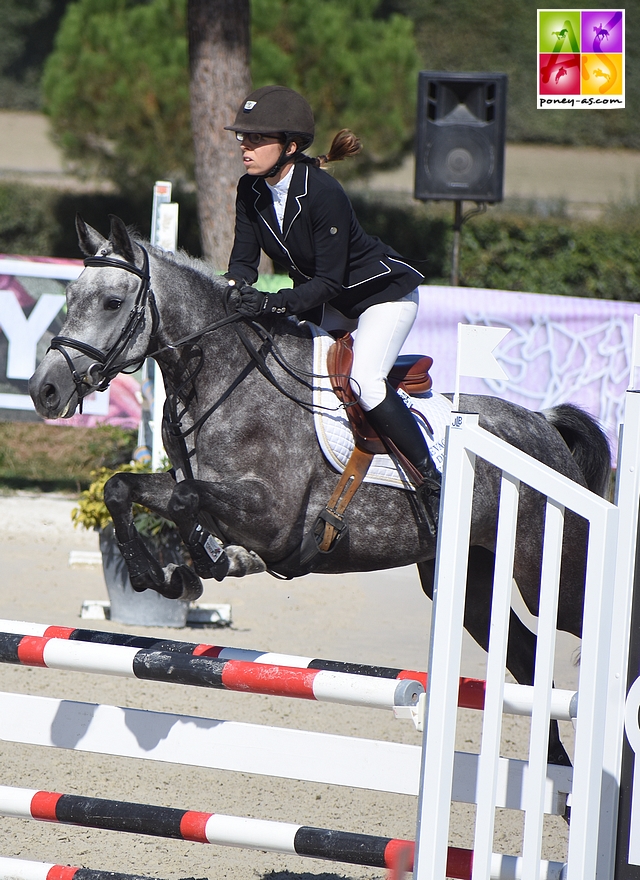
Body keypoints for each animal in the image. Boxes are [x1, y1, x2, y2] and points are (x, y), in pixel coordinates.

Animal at [30, 217, 608, 768]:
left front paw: (205, 564)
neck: (224, 379)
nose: (45, 390)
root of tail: (543, 424)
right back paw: (558, 771)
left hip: (548, 573)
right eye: (69, 298)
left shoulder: (273, 518)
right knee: (527, 658)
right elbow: (124, 487)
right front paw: (161, 574)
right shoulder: (189, 484)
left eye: (112, 302)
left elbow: (185, 500)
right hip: (470, 577)